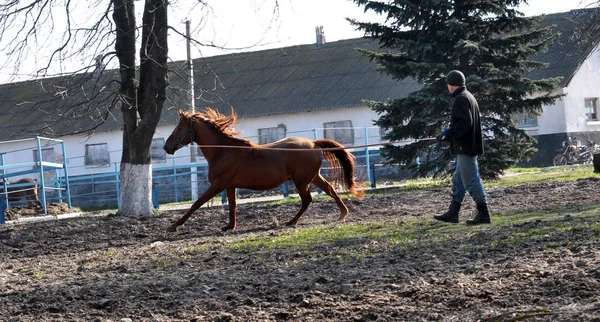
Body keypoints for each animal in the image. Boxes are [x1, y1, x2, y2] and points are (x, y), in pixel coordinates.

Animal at [162, 108, 364, 231]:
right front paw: (230, 226)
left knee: (307, 200)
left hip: (301, 181)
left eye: (179, 128)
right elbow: (232, 206)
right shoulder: (230, 186)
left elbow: (197, 203)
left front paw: (174, 226)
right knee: (329, 189)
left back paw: (292, 221)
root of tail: (313, 144)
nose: (166, 147)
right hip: (312, 177)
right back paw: (342, 214)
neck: (223, 150)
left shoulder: (218, 184)